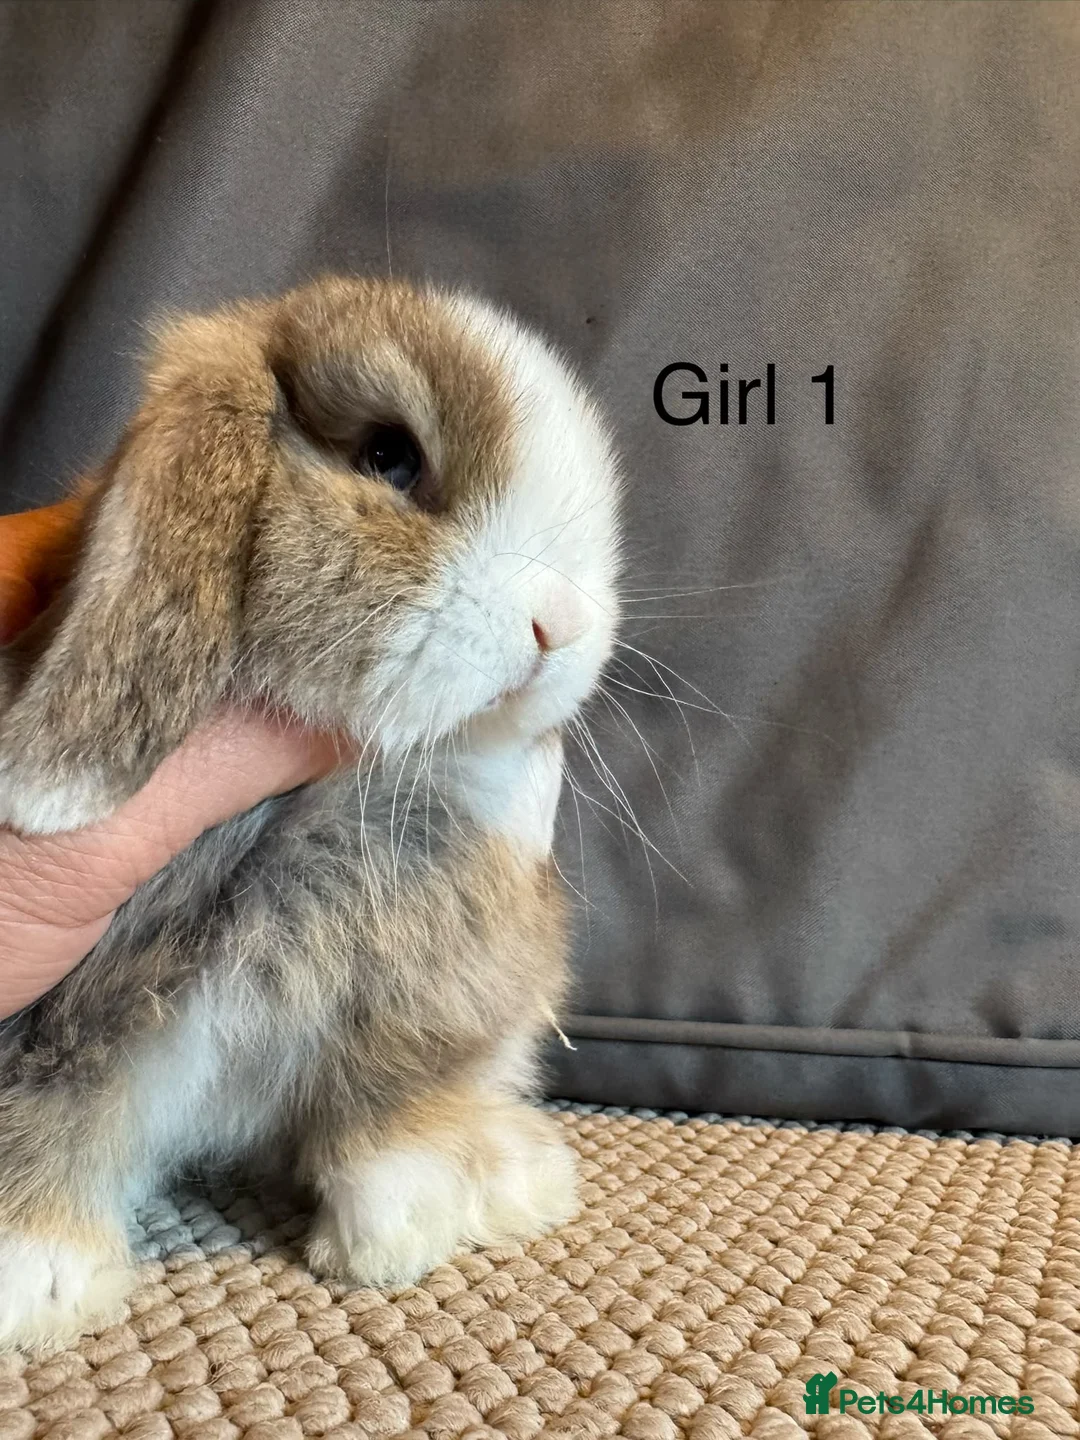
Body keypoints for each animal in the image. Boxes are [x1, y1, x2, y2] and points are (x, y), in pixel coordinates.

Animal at [0, 275, 621, 1354]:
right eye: (388, 456)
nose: (565, 624)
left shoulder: (430, 984)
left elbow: (391, 1092)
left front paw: (419, 1215)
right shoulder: (64, 1008)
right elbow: (52, 1085)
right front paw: (34, 1272)